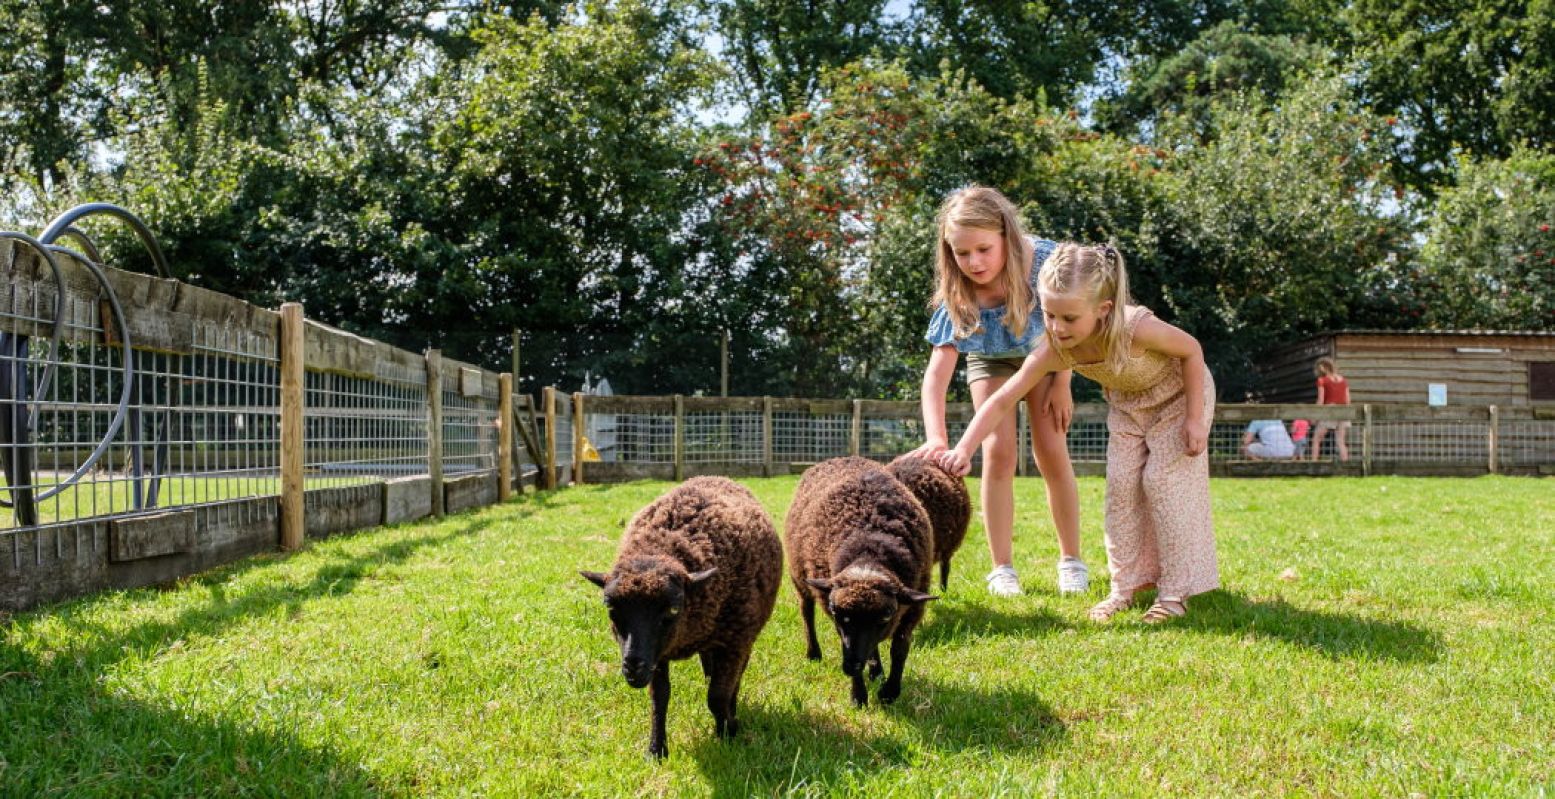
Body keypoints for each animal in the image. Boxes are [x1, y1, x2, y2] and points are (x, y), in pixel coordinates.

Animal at [581, 475, 783, 755]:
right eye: (611, 608)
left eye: (673, 608)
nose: (633, 668)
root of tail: (716, 476)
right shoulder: (658, 654)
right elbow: (660, 697)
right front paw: (656, 750)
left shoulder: (733, 642)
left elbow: (717, 696)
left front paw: (729, 731)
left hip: (742, 634)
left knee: (735, 677)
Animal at [783, 450, 926, 705]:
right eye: (837, 612)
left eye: (886, 616)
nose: (849, 667)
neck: (870, 551)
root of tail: (841, 457)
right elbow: (846, 644)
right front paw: (858, 696)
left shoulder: (912, 608)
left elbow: (900, 649)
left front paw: (889, 691)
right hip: (798, 576)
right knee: (806, 611)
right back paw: (814, 653)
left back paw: (875, 671)